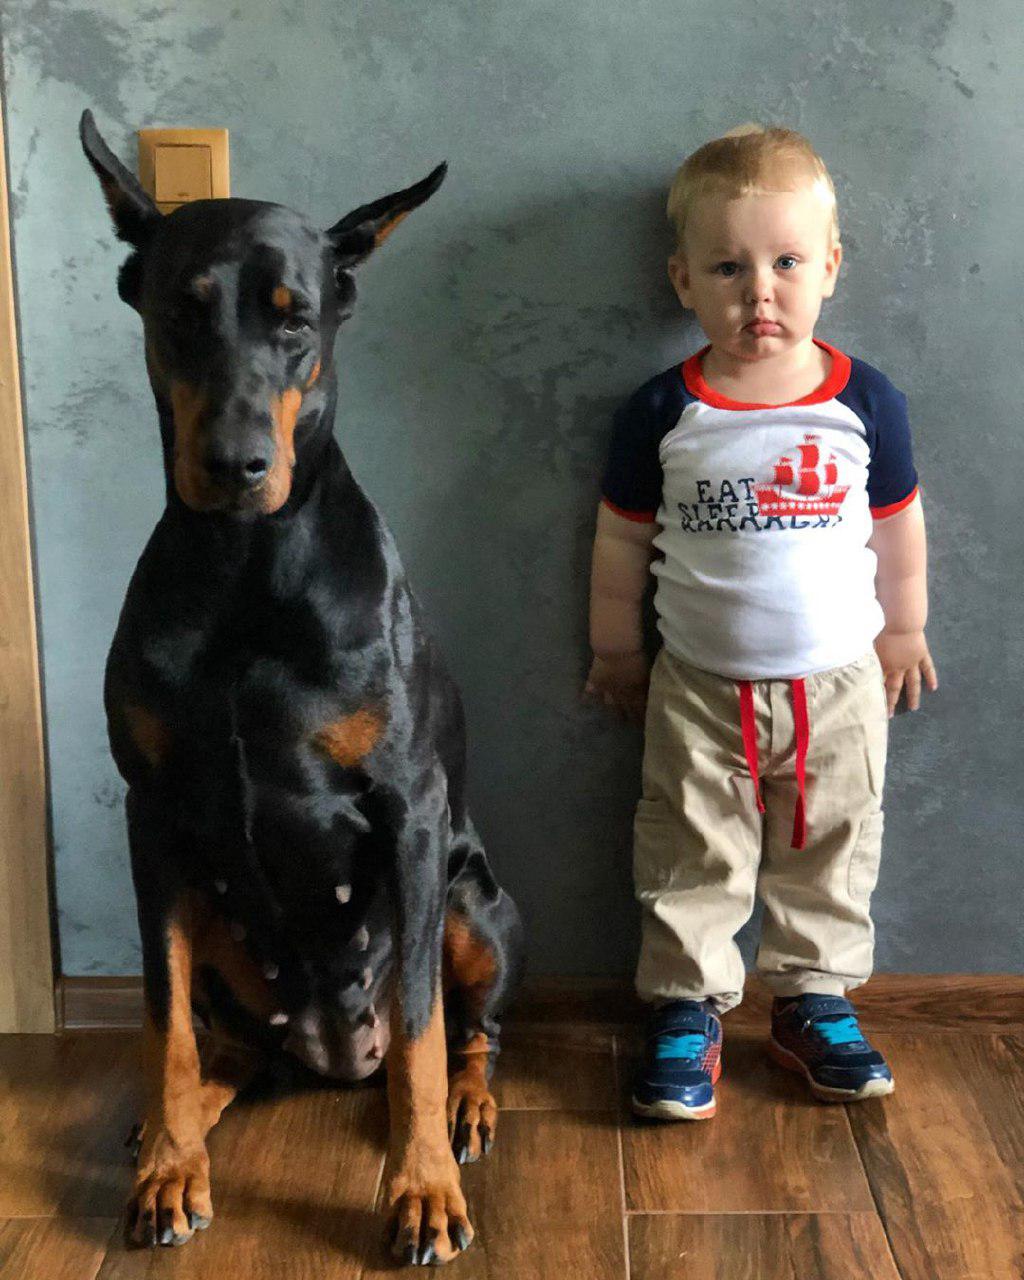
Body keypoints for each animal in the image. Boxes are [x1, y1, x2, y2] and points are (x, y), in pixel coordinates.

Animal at [80, 107, 524, 1259]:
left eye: (298, 320)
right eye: (181, 312)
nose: (235, 463)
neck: (245, 578)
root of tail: (326, 1055)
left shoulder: (410, 811)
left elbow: (420, 1025)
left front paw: (421, 1190)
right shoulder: (152, 815)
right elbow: (162, 1019)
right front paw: (168, 1170)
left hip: (475, 900)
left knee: (468, 1032)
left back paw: (465, 1111)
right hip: (215, 925)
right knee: (222, 1047)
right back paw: (168, 1131)